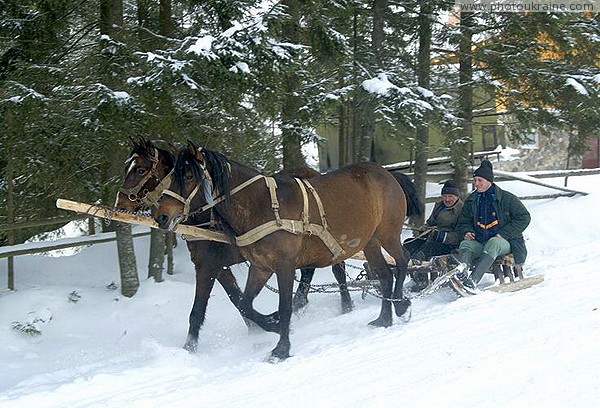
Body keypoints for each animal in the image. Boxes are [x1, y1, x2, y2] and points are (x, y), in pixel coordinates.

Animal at [113, 138, 352, 354]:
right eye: (126, 167)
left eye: (140, 169)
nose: (119, 204)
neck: (205, 216)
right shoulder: (218, 267)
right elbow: (237, 299)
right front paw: (259, 329)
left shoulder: (209, 265)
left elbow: (199, 310)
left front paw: (189, 348)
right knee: (309, 271)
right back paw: (302, 305)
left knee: (337, 269)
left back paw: (345, 307)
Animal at [155, 143, 414, 360]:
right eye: (170, 176)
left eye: (189, 175)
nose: (162, 216)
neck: (262, 207)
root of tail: (388, 174)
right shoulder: (260, 267)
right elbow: (245, 304)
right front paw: (273, 323)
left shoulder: (283, 266)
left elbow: (284, 306)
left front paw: (281, 348)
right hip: (369, 242)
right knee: (384, 275)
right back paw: (384, 319)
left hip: (388, 234)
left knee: (403, 260)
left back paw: (401, 304)